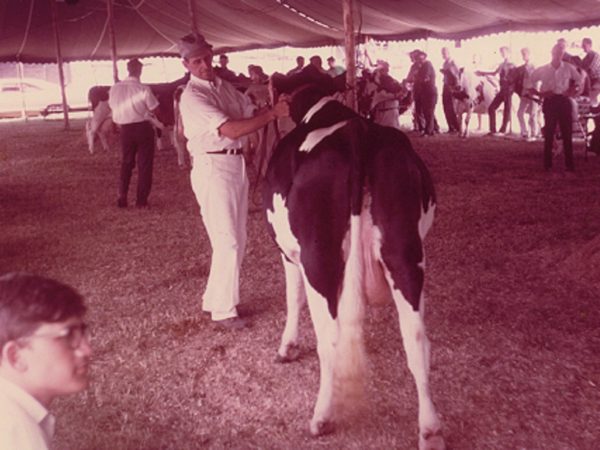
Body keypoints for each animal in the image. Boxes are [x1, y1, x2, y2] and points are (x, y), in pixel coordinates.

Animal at [264, 75, 446, 448]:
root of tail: (356, 132)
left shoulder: (289, 254)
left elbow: (293, 298)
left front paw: (287, 347)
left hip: (319, 258)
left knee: (331, 338)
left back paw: (321, 417)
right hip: (406, 253)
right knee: (417, 337)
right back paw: (431, 429)